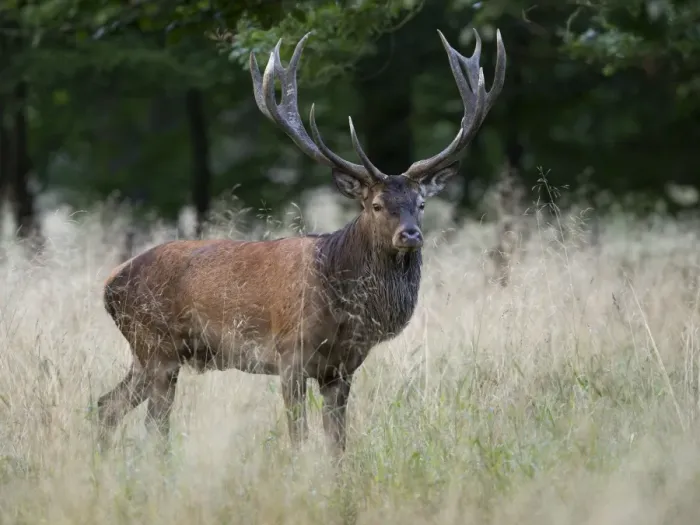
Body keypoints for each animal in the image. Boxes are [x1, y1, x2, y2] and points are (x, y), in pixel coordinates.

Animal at [96, 28, 506, 455]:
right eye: (376, 205)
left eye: (421, 204)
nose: (410, 234)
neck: (344, 307)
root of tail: (109, 286)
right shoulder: (289, 355)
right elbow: (298, 438)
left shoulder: (341, 369)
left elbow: (338, 443)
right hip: (156, 346)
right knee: (152, 424)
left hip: (148, 354)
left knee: (106, 404)